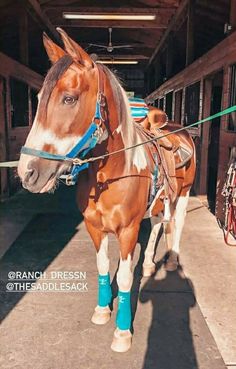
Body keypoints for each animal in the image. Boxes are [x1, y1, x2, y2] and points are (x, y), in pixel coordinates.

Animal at [18, 28, 195, 350]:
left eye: (69, 98)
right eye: (37, 98)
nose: (28, 172)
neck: (113, 173)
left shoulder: (127, 231)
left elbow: (124, 277)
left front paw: (122, 332)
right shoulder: (94, 227)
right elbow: (102, 267)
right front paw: (102, 311)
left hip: (185, 195)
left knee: (176, 225)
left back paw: (172, 260)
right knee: (158, 225)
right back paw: (148, 265)